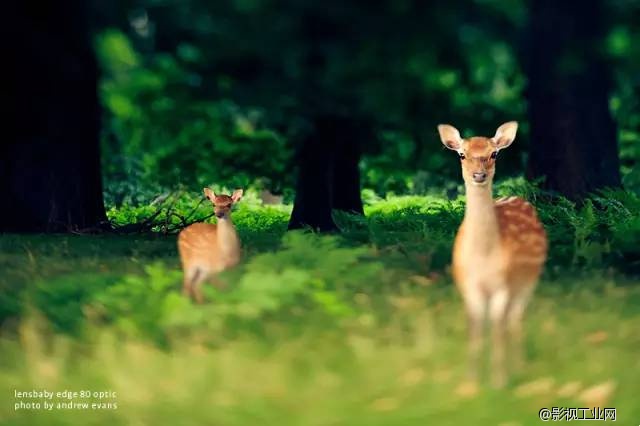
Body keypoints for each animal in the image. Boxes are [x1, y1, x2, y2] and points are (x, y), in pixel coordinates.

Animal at [438, 121, 548, 388]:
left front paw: (499, 382)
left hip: (529, 279)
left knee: (514, 319)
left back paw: (520, 368)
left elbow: (498, 329)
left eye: (494, 153)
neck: (484, 258)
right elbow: (476, 329)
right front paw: (471, 383)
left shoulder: (503, 285)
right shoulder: (468, 285)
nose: (479, 175)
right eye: (462, 154)